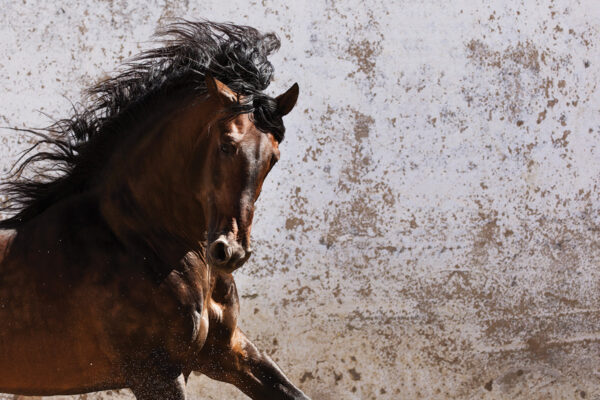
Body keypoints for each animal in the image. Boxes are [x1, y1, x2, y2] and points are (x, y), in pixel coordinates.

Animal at [0, 21, 308, 400]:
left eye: (273, 157)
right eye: (226, 145)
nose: (230, 251)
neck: (139, 240)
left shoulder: (229, 353)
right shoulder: (156, 374)